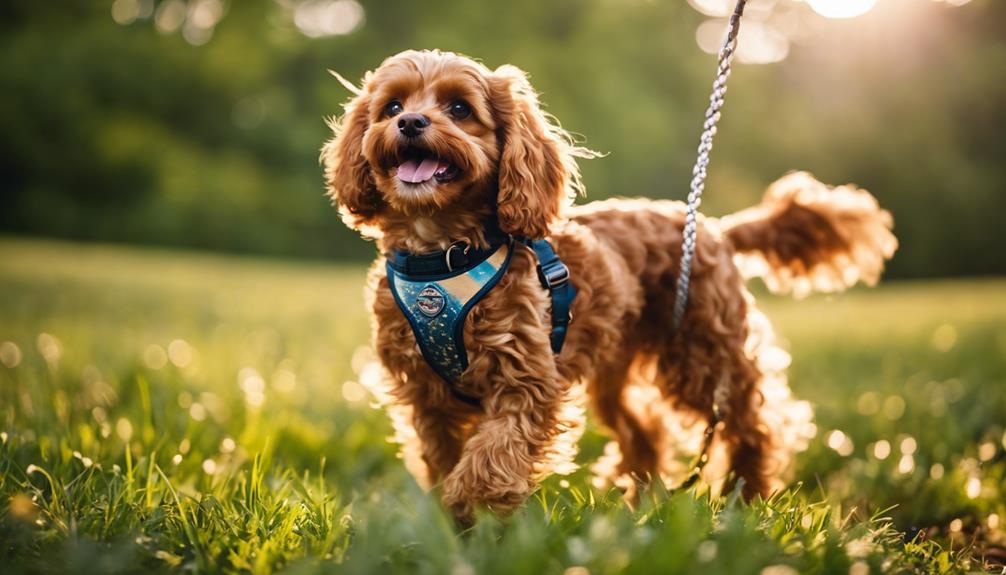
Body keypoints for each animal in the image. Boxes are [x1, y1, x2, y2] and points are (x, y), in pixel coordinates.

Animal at [319, 48, 897, 522]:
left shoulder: (526, 378)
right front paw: (453, 522)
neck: (440, 257)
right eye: (392, 106)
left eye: (460, 109)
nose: (411, 121)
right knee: (647, 432)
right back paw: (641, 499)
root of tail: (714, 228)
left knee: (753, 425)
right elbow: (443, 458)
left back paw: (746, 495)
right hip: (619, 372)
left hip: (703, 355)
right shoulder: (425, 396)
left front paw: (474, 503)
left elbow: (492, 452)